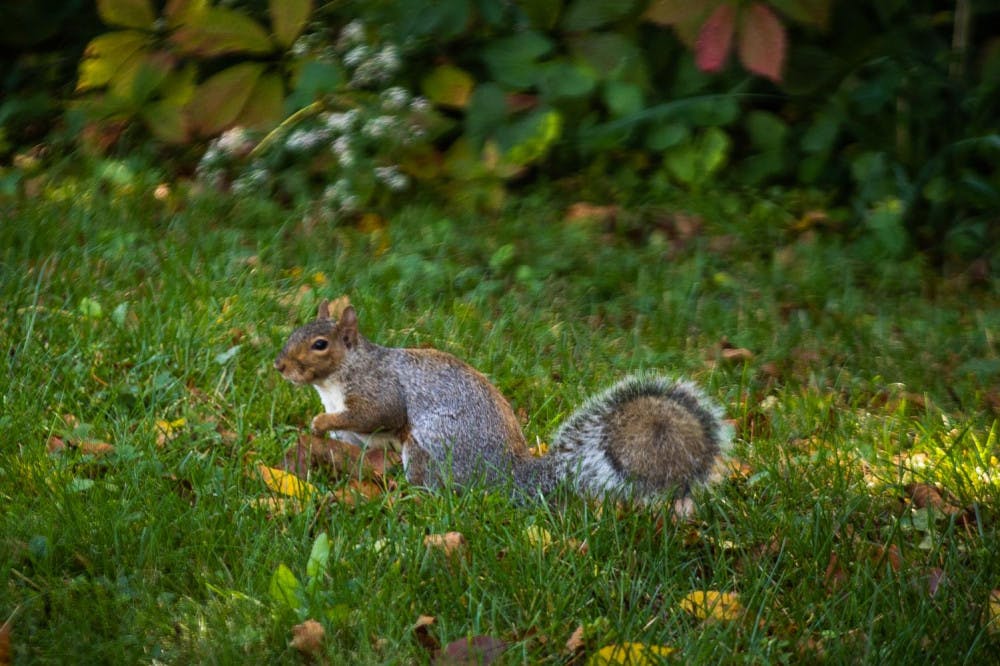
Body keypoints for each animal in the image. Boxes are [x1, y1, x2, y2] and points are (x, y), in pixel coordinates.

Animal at [274, 300, 732, 510]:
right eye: (295, 331)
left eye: (320, 344)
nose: (279, 366)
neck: (336, 380)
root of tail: (508, 475)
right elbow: (355, 437)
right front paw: (322, 430)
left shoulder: (380, 391)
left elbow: (377, 414)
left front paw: (318, 421)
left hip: (432, 445)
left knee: (437, 487)